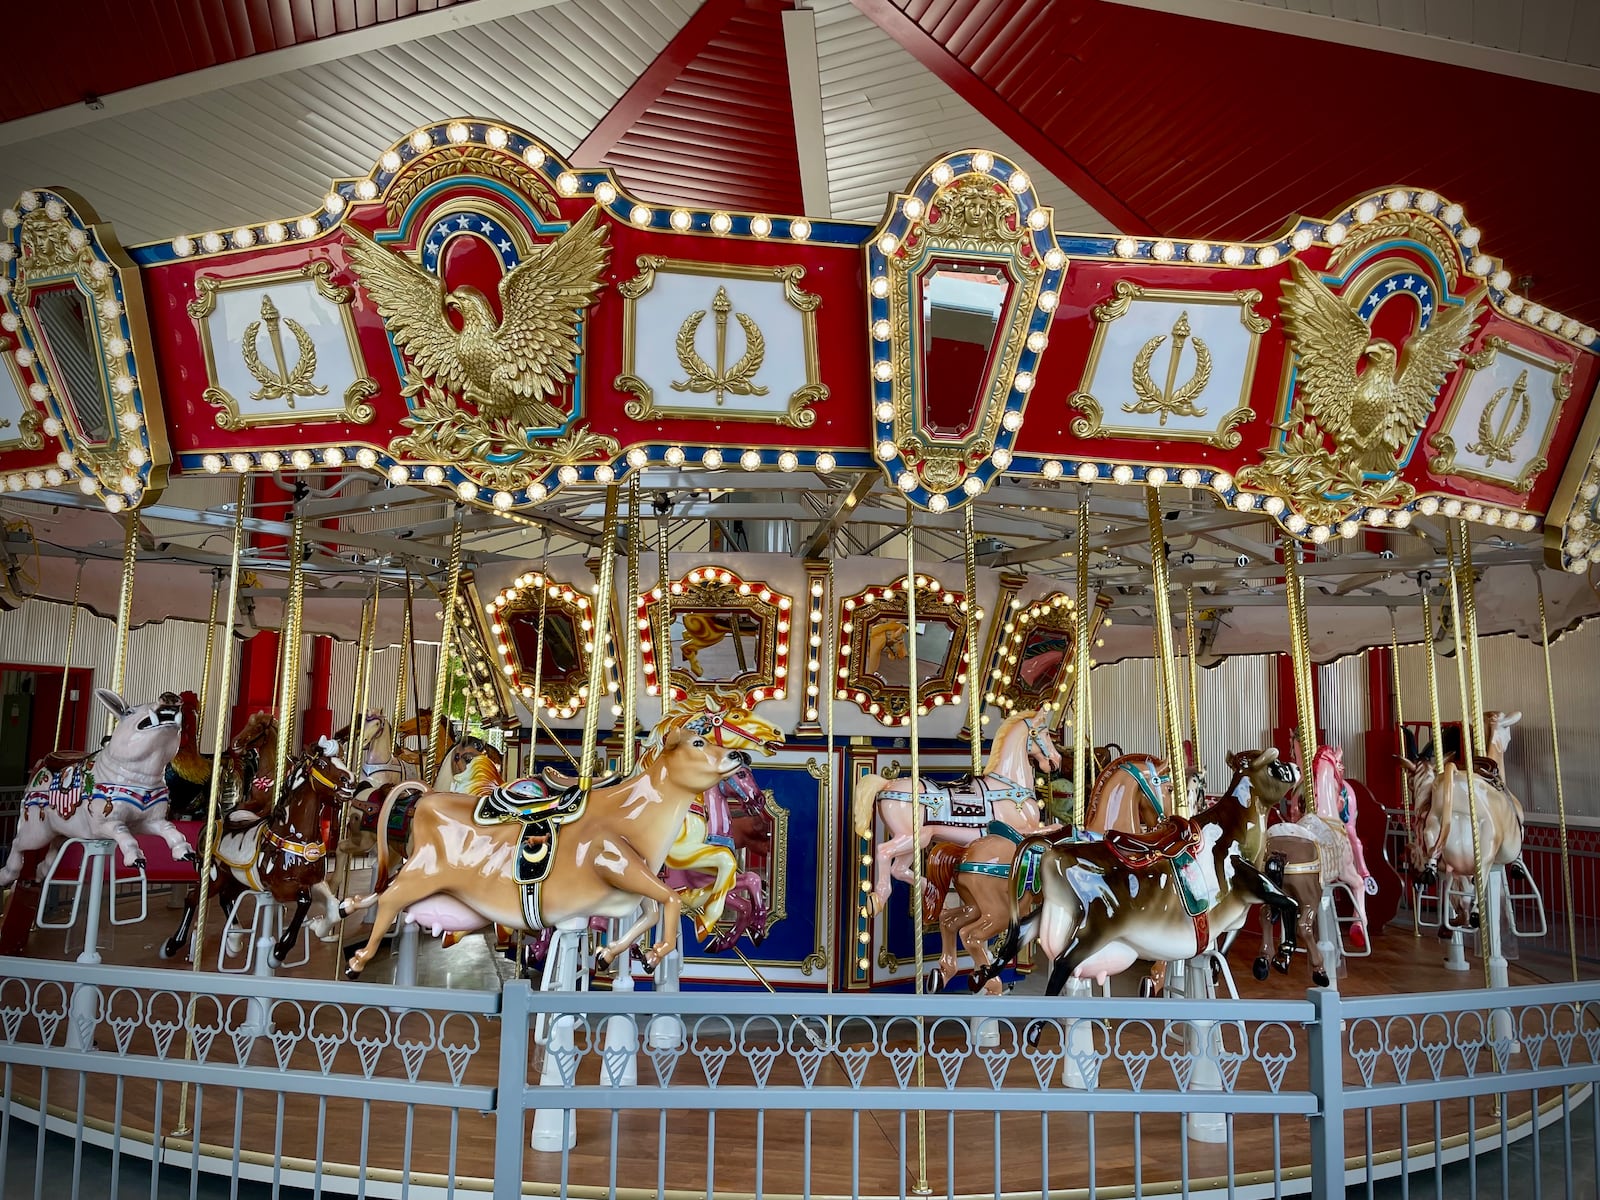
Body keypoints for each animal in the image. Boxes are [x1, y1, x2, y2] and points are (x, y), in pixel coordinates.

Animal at [1, 691, 195, 889]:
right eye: (130, 712)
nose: (169, 696)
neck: (141, 780)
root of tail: (39, 768)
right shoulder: (104, 823)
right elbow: (123, 833)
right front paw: (135, 859)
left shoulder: (148, 821)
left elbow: (170, 829)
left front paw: (185, 852)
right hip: (37, 830)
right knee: (18, 843)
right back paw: (7, 875)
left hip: (62, 828)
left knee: (55, 846)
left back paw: (42, 873)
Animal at [157, 742, 355, 966]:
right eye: (322, 764)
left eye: (342, 759)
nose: (350, 780)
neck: (297, 836)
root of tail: (215, 823)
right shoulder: (281, 887)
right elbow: (306, 900)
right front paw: (279, 951)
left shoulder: (314, 881)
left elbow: (334, 906)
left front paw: (320, 927)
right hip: (214, 876)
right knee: (192, 899)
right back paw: (172, 945)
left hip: (237, 879)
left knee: (225, 898)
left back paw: (234, 941)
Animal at [339, 710, 748, 979]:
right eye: (698, 742)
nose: (739, 755)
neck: (629, 815)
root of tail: (426, 799)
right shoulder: (616, 863)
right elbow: (670, 901)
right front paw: (661, 950)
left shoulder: (631, 884)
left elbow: (652, 909)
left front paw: (608, 955)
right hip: (424, 871)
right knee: (391, 897)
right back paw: (357, 959)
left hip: (421, 873)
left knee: (387, 890)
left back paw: (348, 905)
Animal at [851, 713, 1062, 921]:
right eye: (1043, 734)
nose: (1056, 760)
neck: (1009, 785)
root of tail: (887, 785)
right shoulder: (1022, 829)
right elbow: (1050, 831)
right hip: (911, 836)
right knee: (883, 851)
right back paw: (877, 899)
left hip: (915, 841)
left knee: (899, 869)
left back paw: (939, 900)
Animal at [972, 752, 1299, 998]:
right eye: (1168, 787)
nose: (1295, 766)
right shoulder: (1243, 882)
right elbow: (1286, 903)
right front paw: (1280, 956)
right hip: (1067, 922)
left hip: (1041, 914)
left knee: (1009, 937)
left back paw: (982, 977)